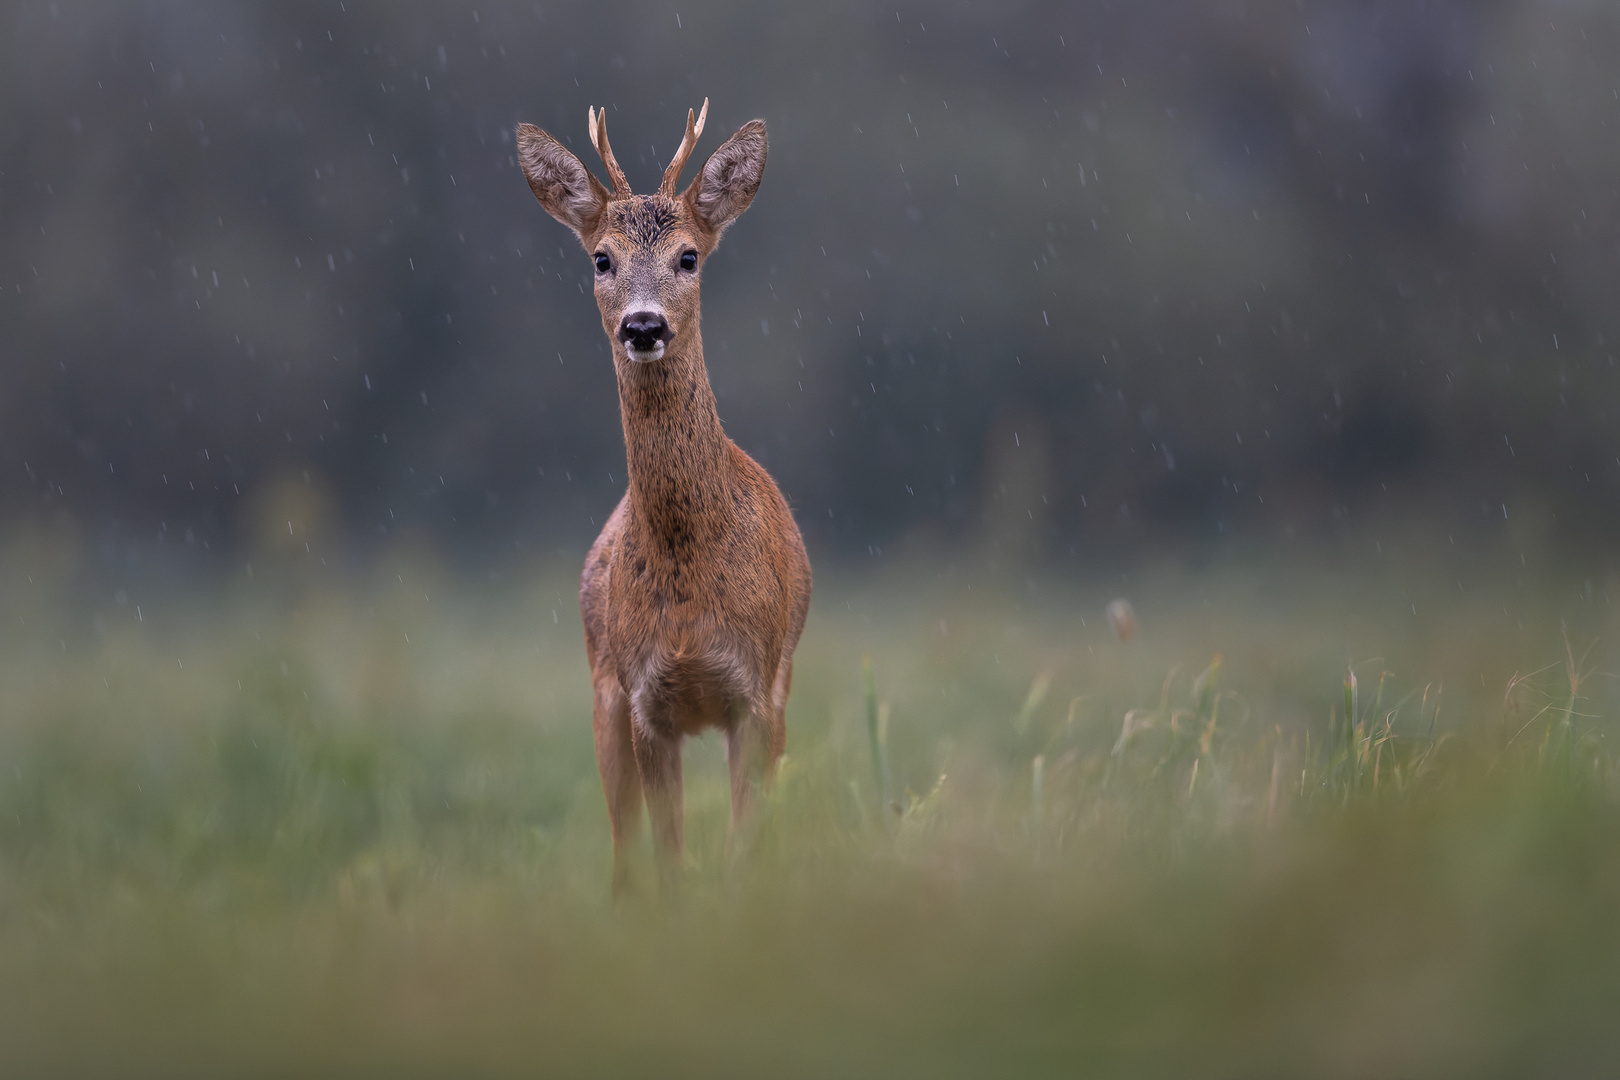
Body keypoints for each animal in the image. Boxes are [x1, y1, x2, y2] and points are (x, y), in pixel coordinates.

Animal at [515, 103, 810, 893]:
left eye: (688, 257)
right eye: (601, 259)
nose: (643, 326)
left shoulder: (756, 691)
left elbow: (747, 847)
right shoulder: (645, 700)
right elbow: (670, 859)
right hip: (601, 697)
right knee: (624, 853)